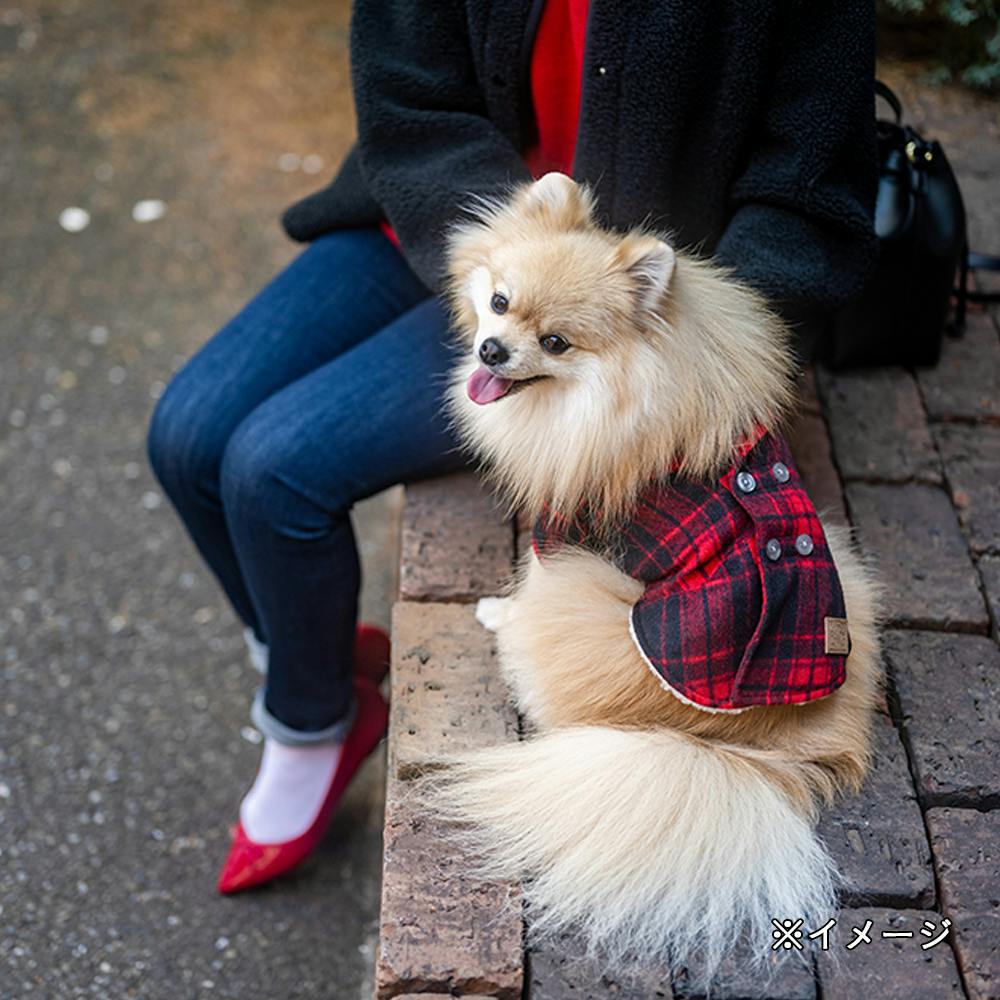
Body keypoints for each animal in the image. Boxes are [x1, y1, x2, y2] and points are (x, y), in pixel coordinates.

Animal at [438, 174, 884, 984]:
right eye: (499, 302)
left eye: (556, 343)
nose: (491, 348)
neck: (602, 398)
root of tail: (764, 752)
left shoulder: (565, 536)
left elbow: (522, 590)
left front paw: (496, 610)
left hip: (582, 603)